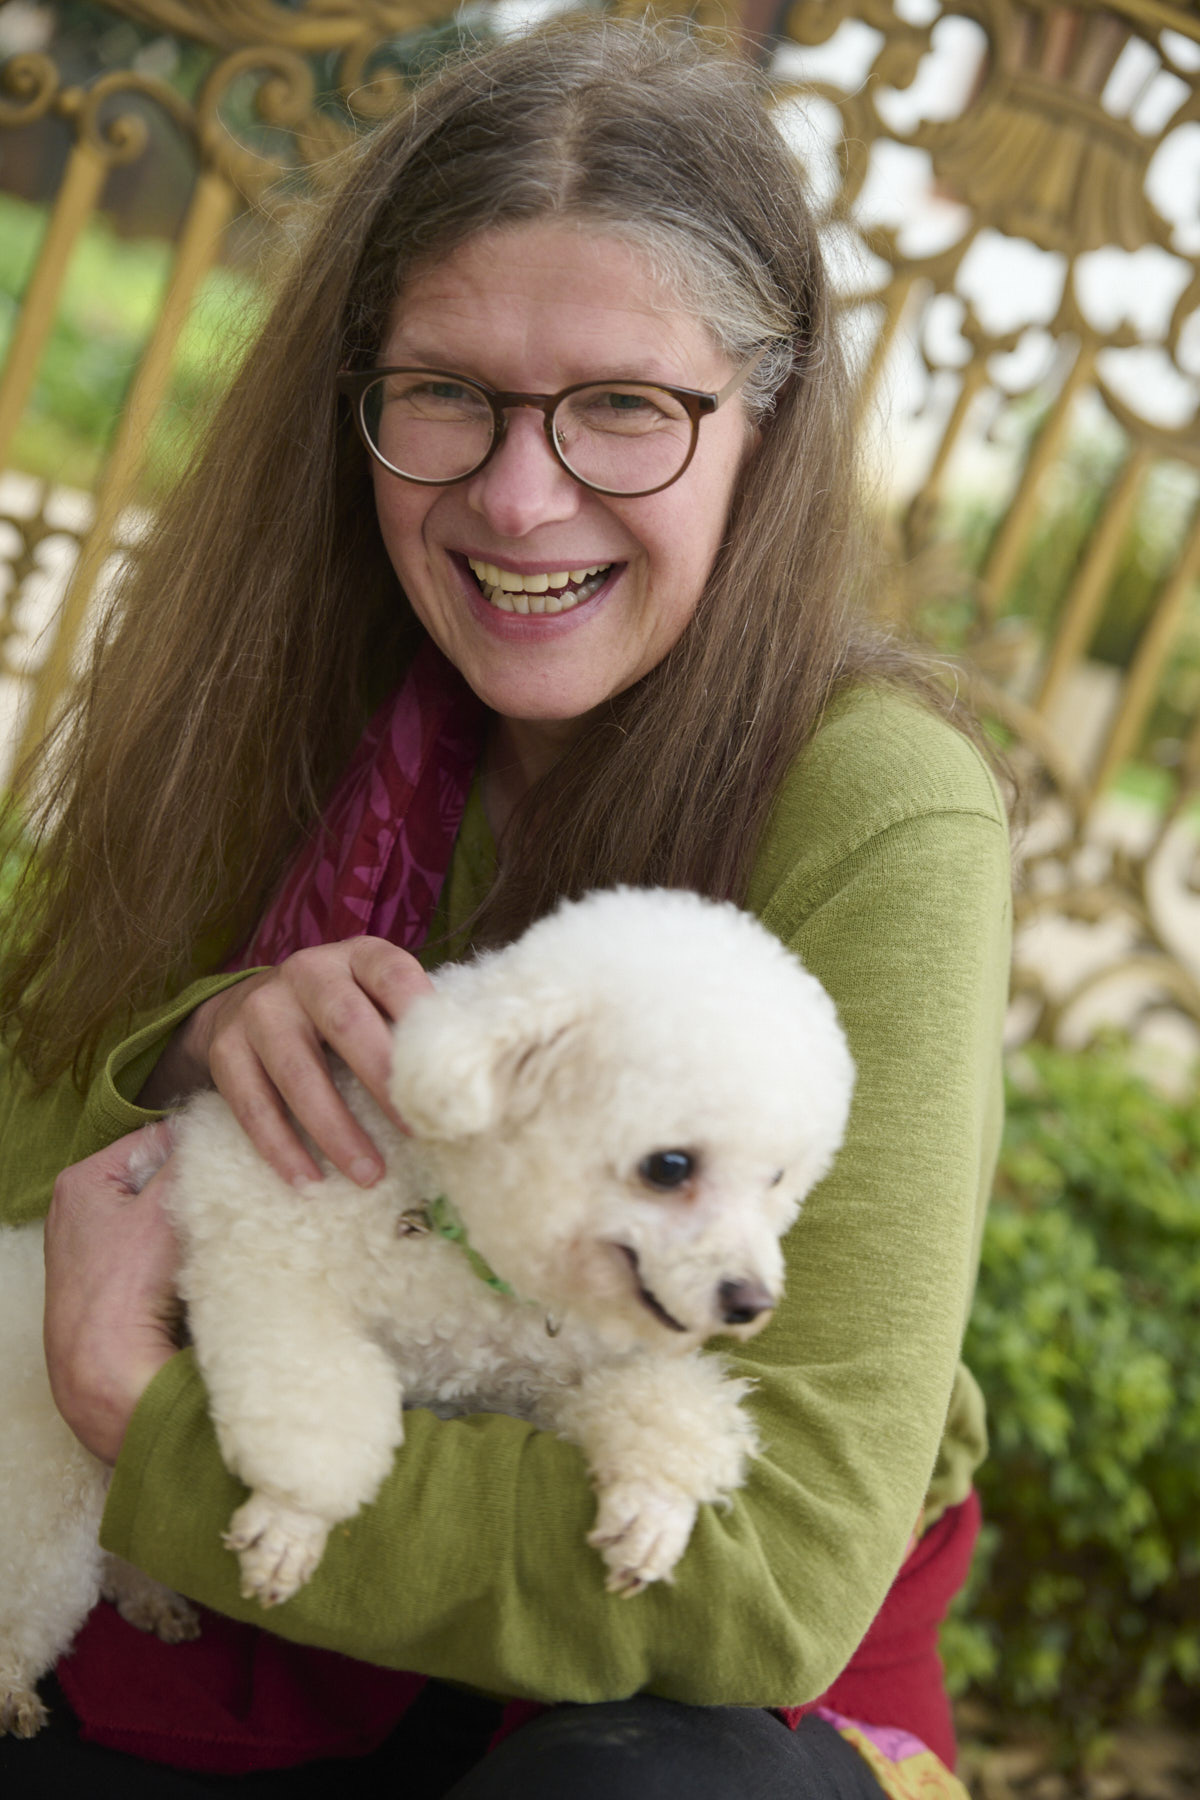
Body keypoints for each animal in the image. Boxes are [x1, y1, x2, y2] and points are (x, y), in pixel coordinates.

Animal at [0, 887, 854, 1738]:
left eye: (776, 1178)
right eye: (669, 1166)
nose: (750, 1301)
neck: (464, 1240)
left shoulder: (560, 1372)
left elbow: (664, 1409)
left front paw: (654, 1506)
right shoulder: (272, 1265)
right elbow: (314, 1411)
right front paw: (292, 1518)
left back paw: (149, 1595)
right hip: (49, 1499)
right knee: (35, 1596)